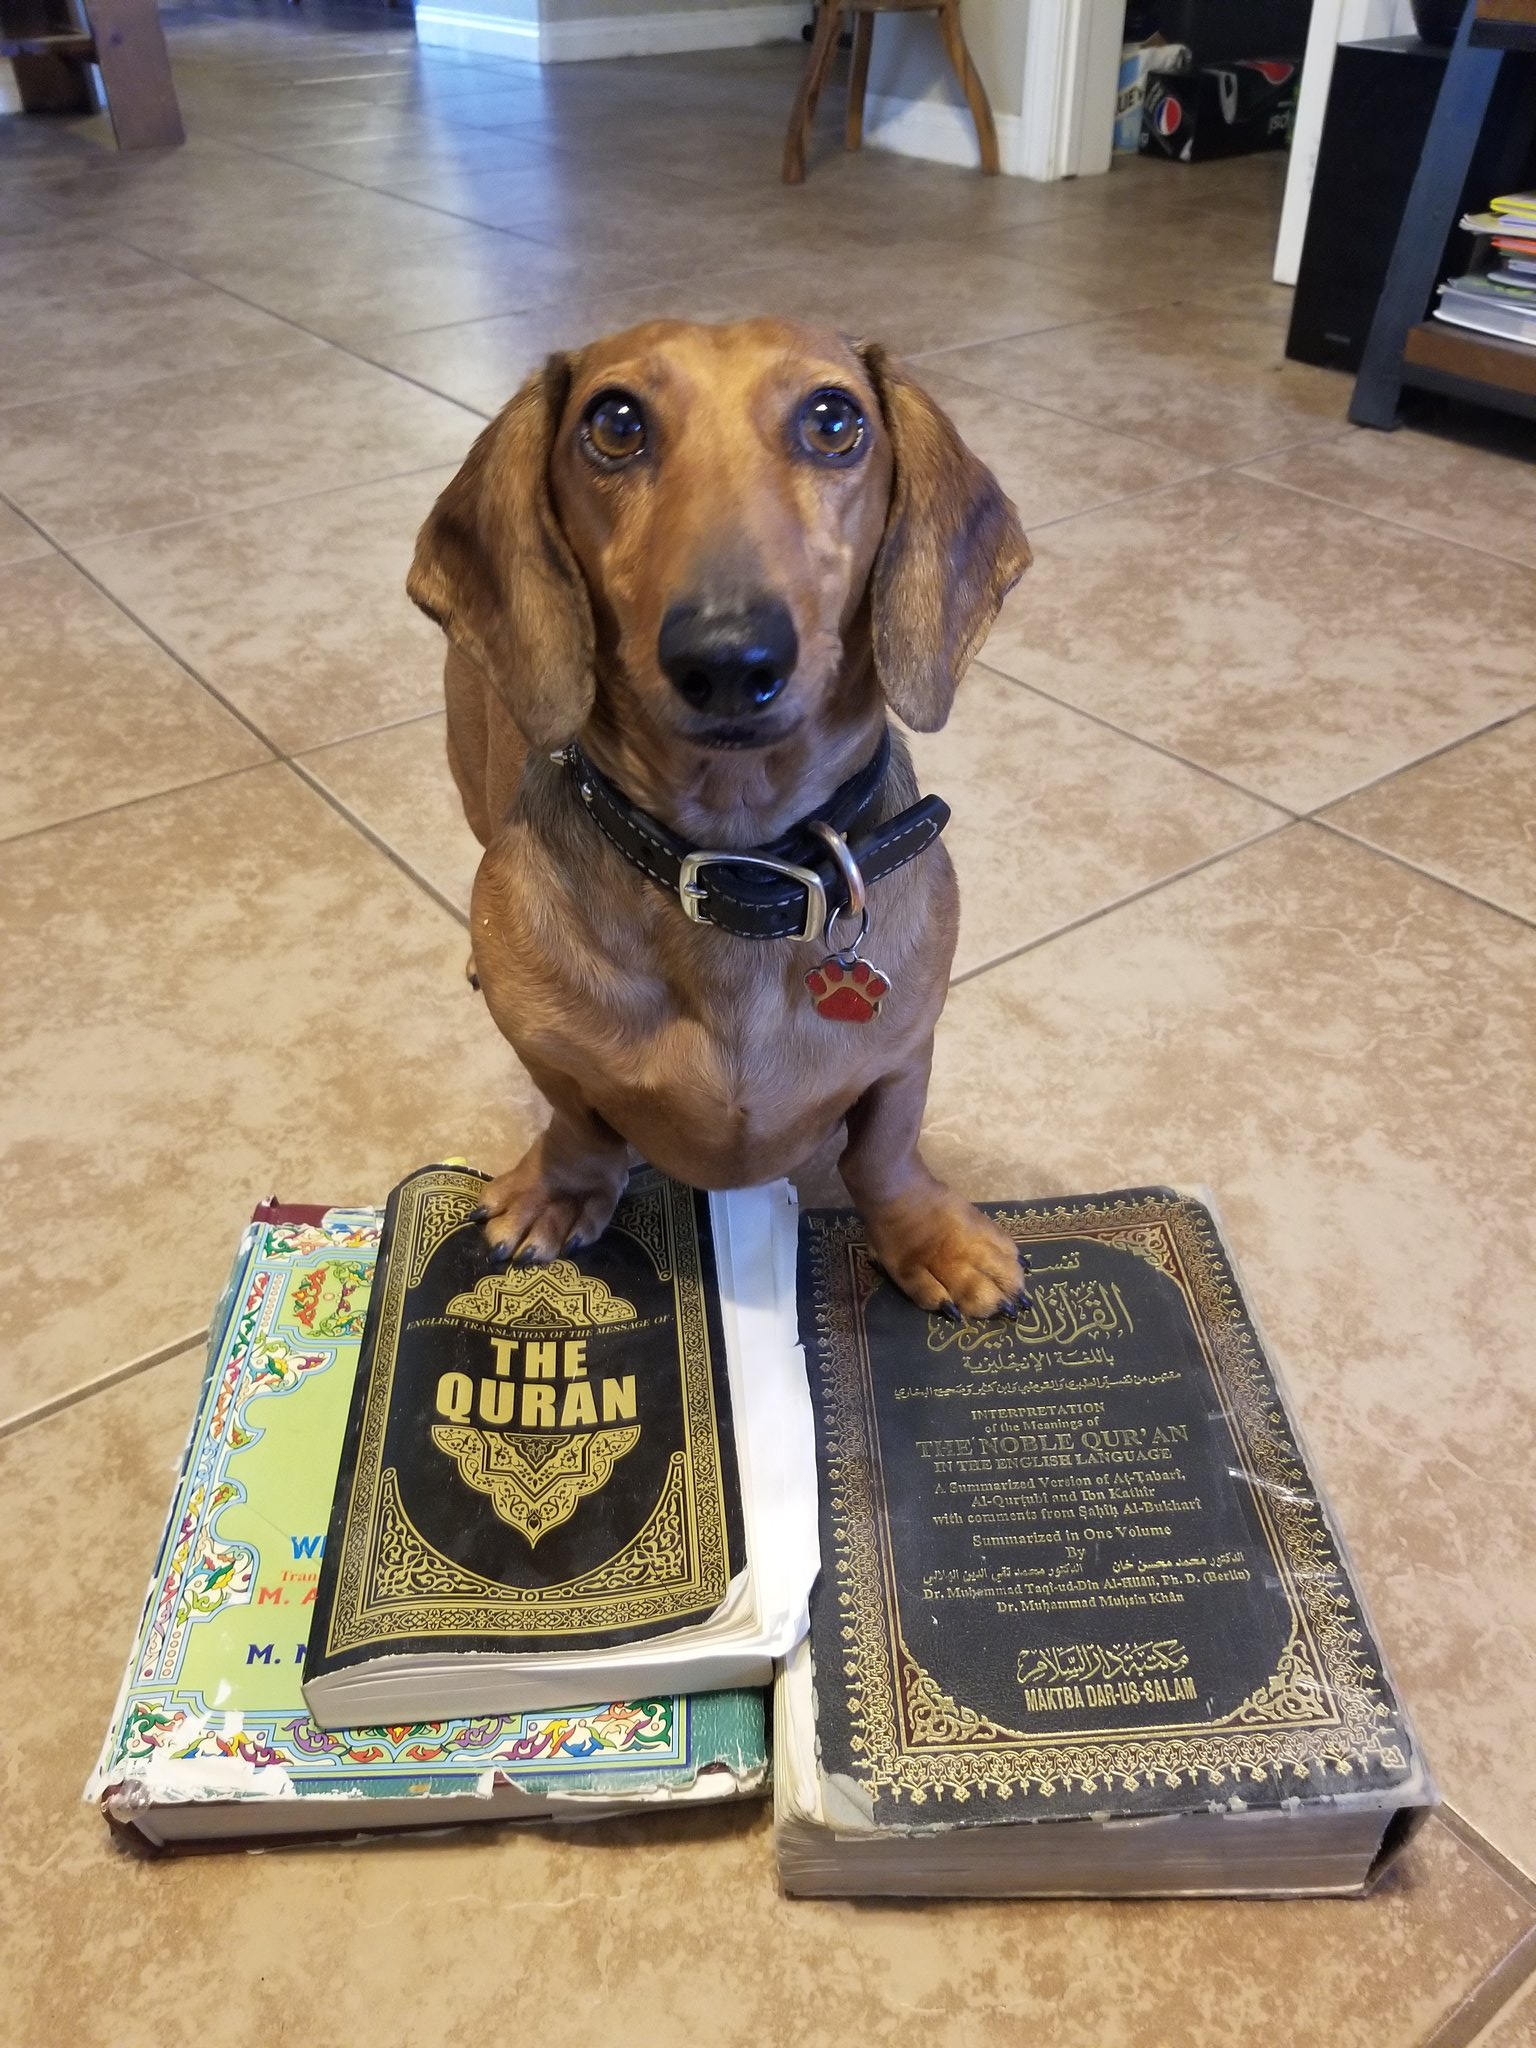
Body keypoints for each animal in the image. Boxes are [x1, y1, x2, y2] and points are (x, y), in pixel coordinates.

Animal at [408, 317, 1031, 1318]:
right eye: (615, 422)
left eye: (834, 419)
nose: (730, 658)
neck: (741, 871)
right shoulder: (545, 1050)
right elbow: (578, 1122)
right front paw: (561, 1189)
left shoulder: (907, 1048)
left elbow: (884, 1150)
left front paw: (929, 1235)